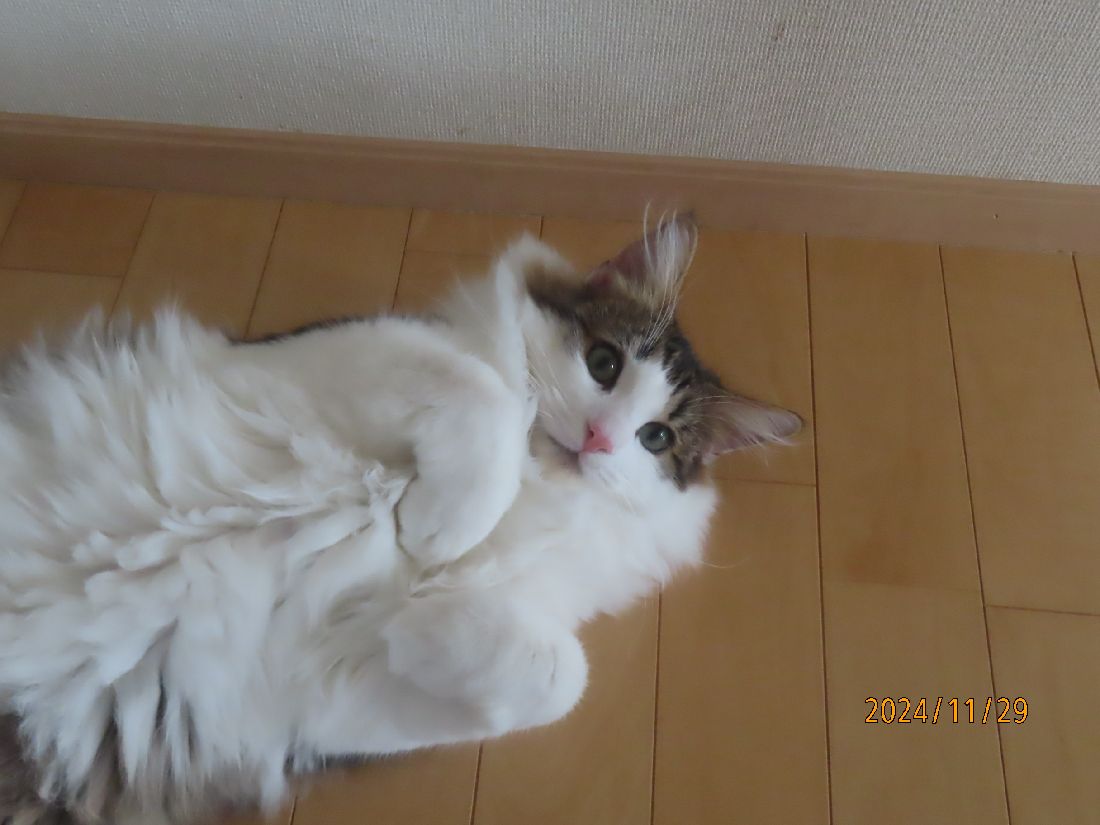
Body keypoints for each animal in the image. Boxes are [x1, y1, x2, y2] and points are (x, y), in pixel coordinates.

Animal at [0, 213, 800, 825]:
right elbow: (486, 394)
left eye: (655, 438)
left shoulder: (314, 712)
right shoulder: (339, 354)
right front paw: (432, 530)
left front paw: (420, 619)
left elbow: (557, 679)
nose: (601, 440)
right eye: (604, 363)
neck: (536, 487)